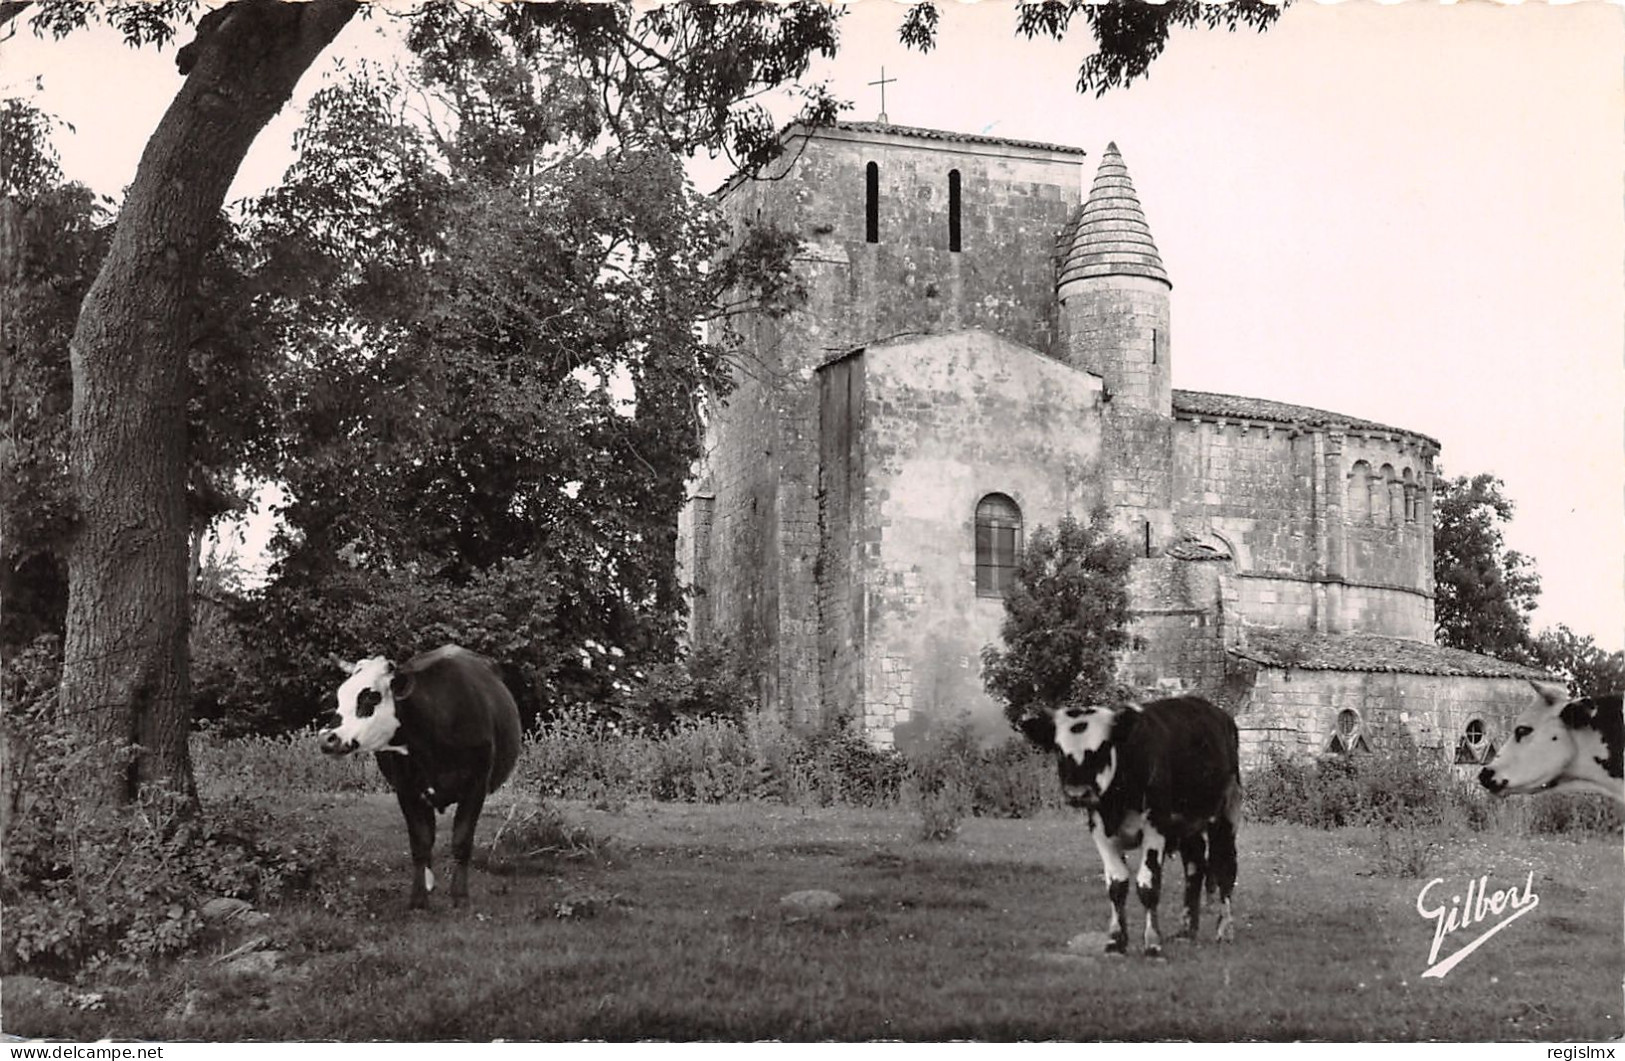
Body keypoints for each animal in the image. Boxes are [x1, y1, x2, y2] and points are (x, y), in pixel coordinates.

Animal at [316, 640, 520, 903]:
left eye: (371, 697)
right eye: (340, 696)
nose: (326, 738)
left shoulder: (476, 786)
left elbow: (462, 840)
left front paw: (459, 895)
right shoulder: (407, 790)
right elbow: (420, 842)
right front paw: (419, 897)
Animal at [1020, 692, 1235, 955]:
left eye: (1103, 748)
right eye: (1060, 751)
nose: (1078, 793)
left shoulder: (1155, 826)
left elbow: (1148, 884)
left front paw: (1152, 943)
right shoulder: (1099, 829)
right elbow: (1117, 884)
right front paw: (1115, 941)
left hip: (1226, 812)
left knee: (1224, 868)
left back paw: (1224, 930)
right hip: (1188, 826)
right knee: (1195, 869)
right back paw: (1186, 931)